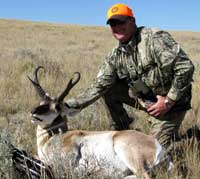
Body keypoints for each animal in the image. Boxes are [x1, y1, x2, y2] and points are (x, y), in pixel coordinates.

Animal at [28, 66, 166, 178]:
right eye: (41, 102)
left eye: (57, 106)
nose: (33, 112)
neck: (51, 137)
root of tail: (157, 145)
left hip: (129, 155)